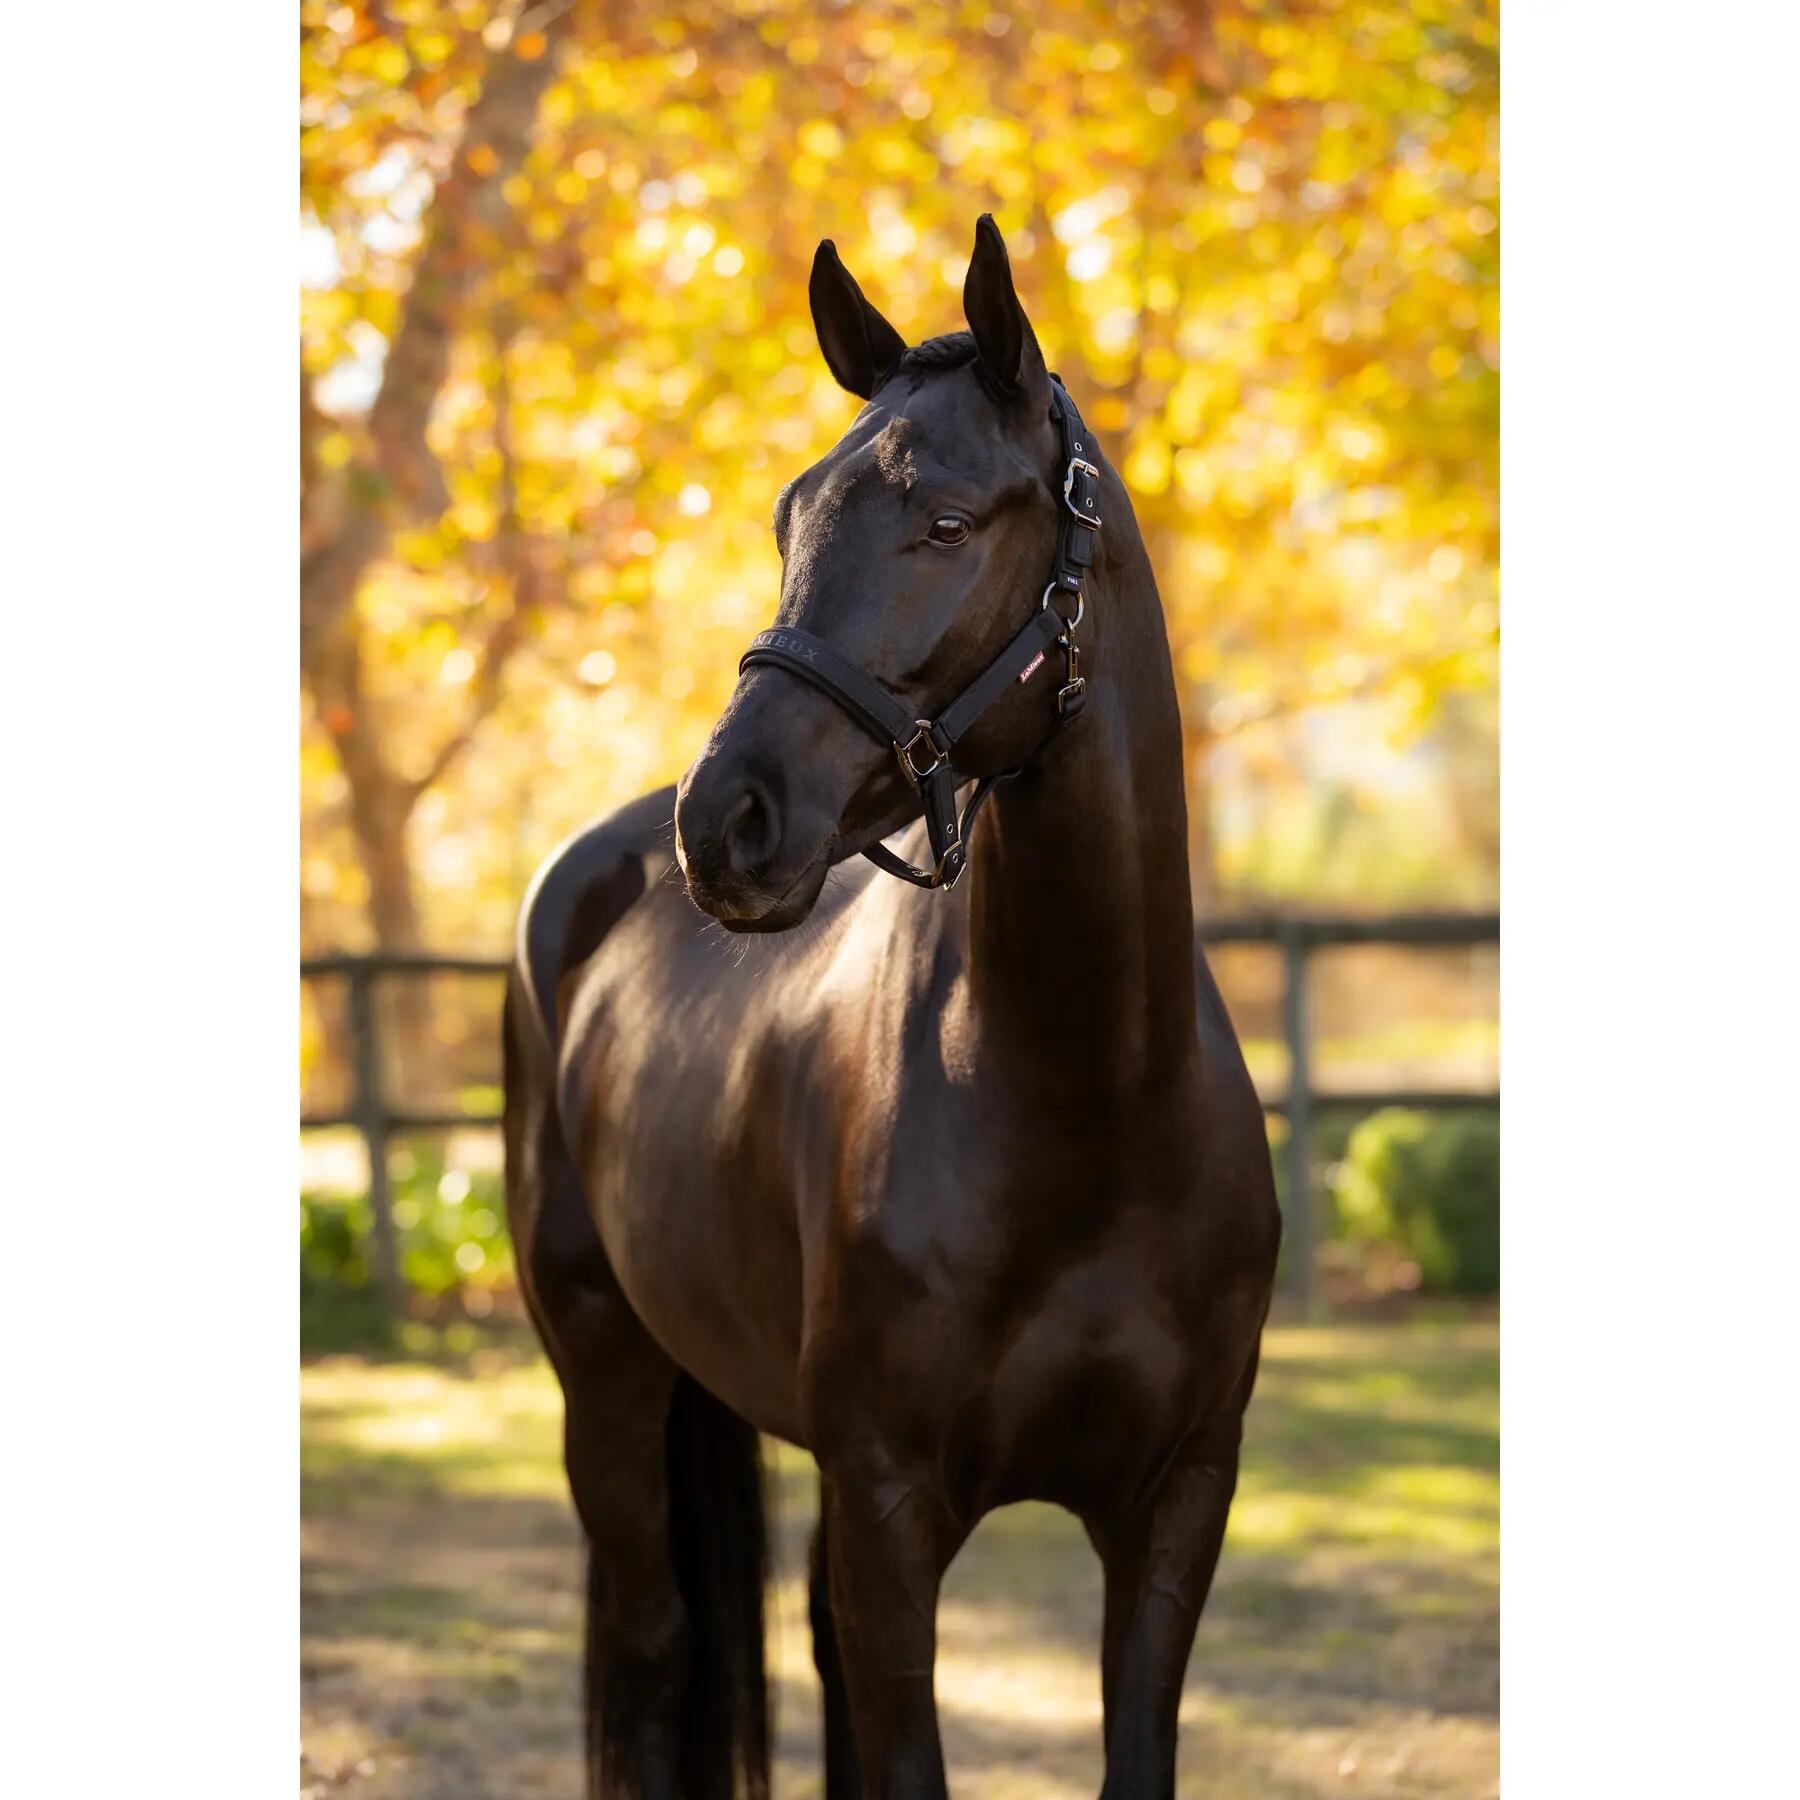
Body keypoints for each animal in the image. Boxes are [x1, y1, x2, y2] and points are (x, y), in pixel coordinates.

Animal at [503, 215, 1280, 1799]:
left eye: (948, 523)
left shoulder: (1177, 1504)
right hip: (605, 1376)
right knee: (654, 1648)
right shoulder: (889, 1506)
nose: (725, 821)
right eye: (791, 517)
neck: (1090, 1102)